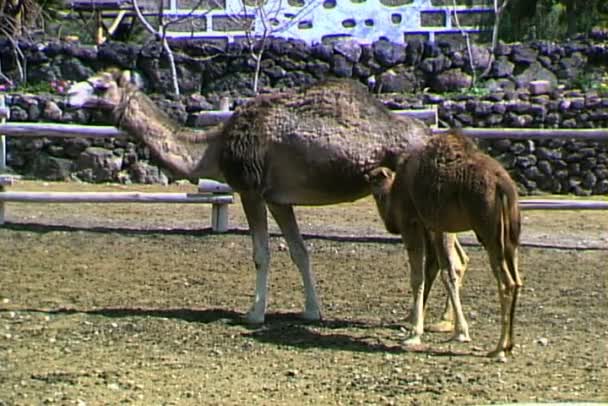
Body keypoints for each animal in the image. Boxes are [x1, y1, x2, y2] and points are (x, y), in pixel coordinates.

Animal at [366, 129, 524, 358]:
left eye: (375, 183)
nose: (367, 176)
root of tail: (502, 184)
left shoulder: (411, 223)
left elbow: (418, 276)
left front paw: (414, 333)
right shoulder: (439, 226)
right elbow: (445, 271)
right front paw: (455, 330)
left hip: (488, 230)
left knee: (506, 283)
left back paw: (498, 349)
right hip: (510, 235)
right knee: (517, 280)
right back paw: (509, 345)